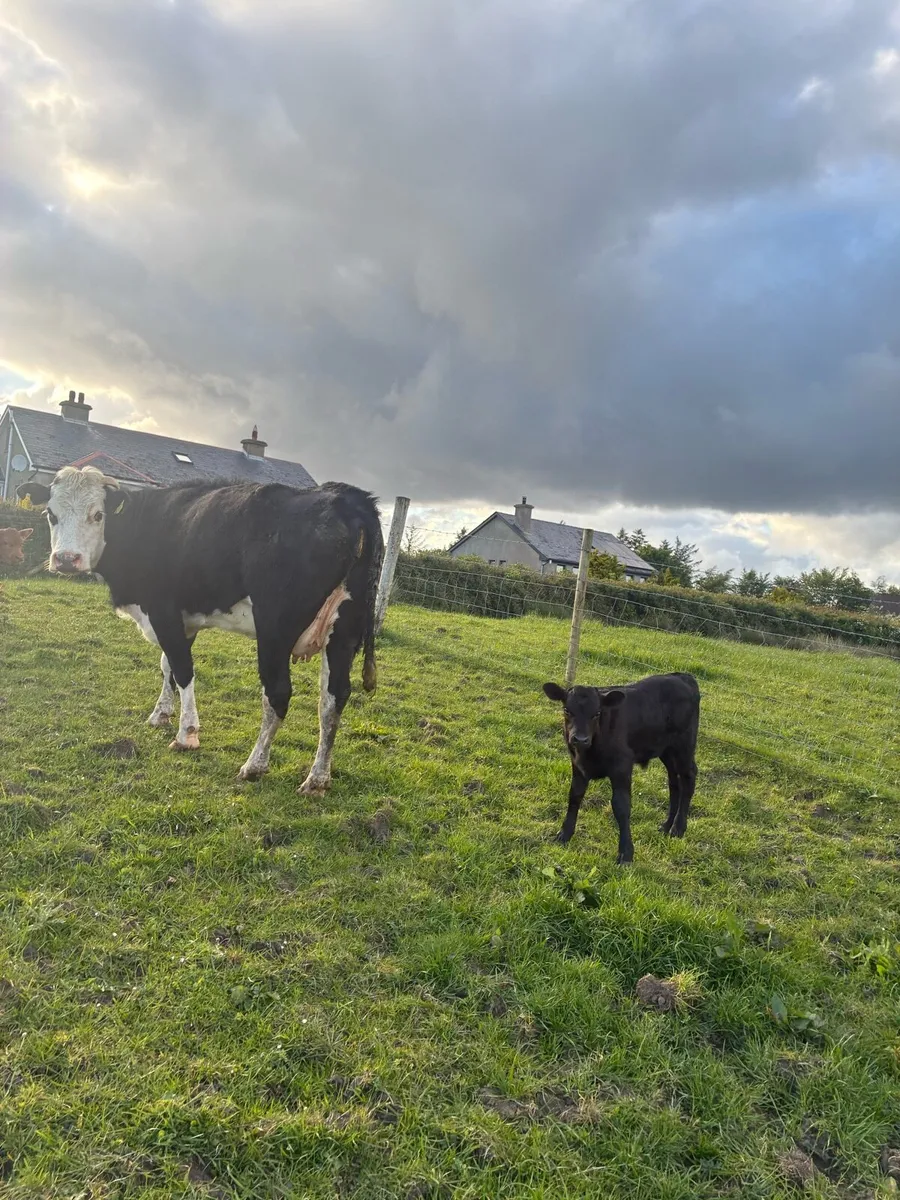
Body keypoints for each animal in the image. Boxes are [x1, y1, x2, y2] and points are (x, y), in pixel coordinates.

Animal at [17, 467, 383, 793]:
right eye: (51, 514)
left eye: (97, 515)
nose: (66, 559)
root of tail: (344, 497)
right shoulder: (181, 620)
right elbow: (167, 665)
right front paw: (160, 715)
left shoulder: (162, 610)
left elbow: (182, 670)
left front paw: (187, 734)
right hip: (343, 632)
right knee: (333, 699)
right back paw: (317, 779)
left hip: (275, 629)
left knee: (278, 694)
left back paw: (254, 765)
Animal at [542, 672, 700, 863]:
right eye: (567, 710)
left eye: (597, 713)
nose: (580, 739)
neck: (590, 752)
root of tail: (682, 676)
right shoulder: (578, 766)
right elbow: (574, 796)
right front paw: (564, 834)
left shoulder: (622, 767)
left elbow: (621, 806)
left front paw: (626, 853)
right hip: (667, 751)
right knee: (673, 782)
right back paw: (666, 825)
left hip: (684, 747)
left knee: (688, 777)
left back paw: (678, 828)